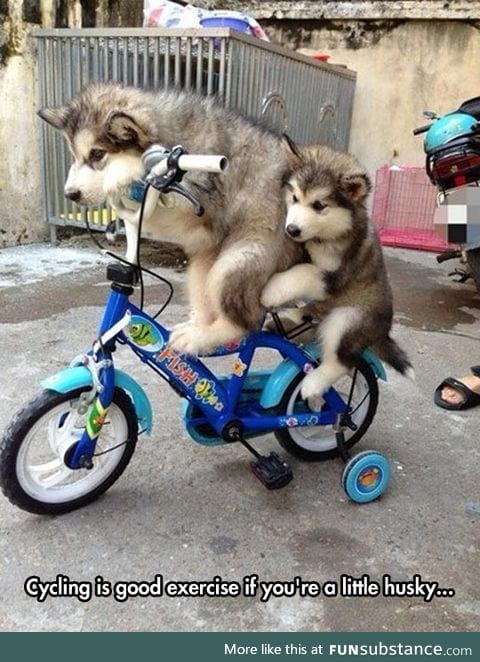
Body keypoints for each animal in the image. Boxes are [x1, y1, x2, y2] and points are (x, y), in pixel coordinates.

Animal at [38, 85, 300, 356]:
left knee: (245, 323)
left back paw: (203, 337)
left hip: (240, 258)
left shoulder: (203, 205)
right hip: (205, 261)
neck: (171, 137)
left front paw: (118, 178)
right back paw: (195, 329)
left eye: (97, 154)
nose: (70, 194)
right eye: (74, 156)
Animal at [258, 137, 412, 402]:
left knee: (341, 361)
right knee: (311, 314)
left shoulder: (335, 275)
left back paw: (313, 384)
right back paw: (291, 319)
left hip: (347, 320)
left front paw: (271, 291)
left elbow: (303, 272)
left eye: (319, 205)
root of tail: (382, 333)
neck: (325, 236)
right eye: (294, 197)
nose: (292, 230)